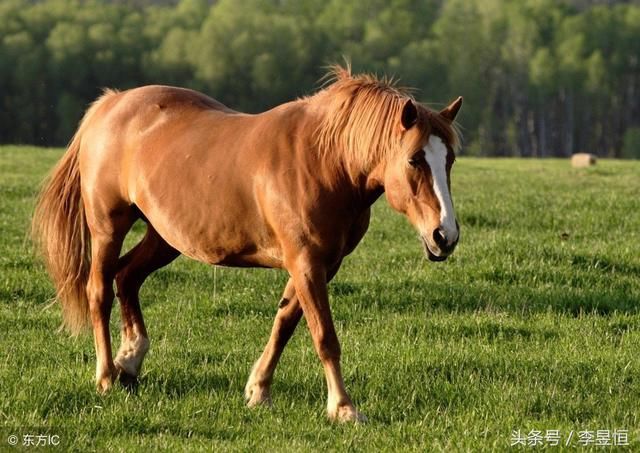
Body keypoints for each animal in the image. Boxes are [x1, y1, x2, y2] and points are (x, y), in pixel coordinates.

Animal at [31, 65, 460, 422]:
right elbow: (324, 337)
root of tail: (111, 103)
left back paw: (131, 362)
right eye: (414, 159)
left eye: (450, 159)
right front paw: (343, 407)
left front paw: (258, 390)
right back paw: (105, 375)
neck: (324, 161)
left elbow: (285, 324)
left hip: (165, 237)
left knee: (128, 278)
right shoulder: (306, 261)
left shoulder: (319, 264)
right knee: (100, 290)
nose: (445, 235)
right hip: (108, 227)